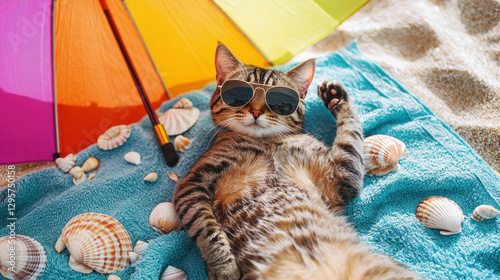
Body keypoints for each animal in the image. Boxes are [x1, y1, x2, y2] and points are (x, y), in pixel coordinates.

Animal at [174, 43, 420, 280]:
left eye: (281, 101)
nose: (256, 111)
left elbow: (350, 133)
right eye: (239, 94)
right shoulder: (191, 185)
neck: (267, 142)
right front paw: (224, 267)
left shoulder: (343, 179)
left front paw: (337, 98)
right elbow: (207, 229)